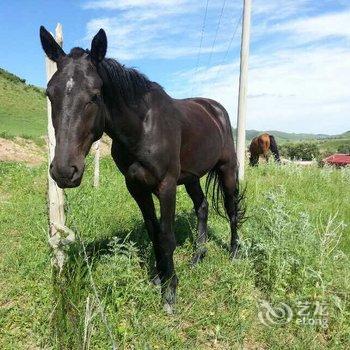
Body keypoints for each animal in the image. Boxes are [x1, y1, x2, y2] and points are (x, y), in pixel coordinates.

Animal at [39, 26, 245, 312]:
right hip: (191, 177)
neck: (142, 128)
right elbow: (153, 231)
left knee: (231, 208)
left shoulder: (166, 185)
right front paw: (159, 276)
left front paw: (170, 291)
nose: (64, 171)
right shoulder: (137, 187)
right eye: (50, 93)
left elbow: (167, 235)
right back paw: (198, 255)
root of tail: (215, 109)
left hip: (227, 169)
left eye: (95, 95)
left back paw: (234, 253)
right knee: (202, 207)